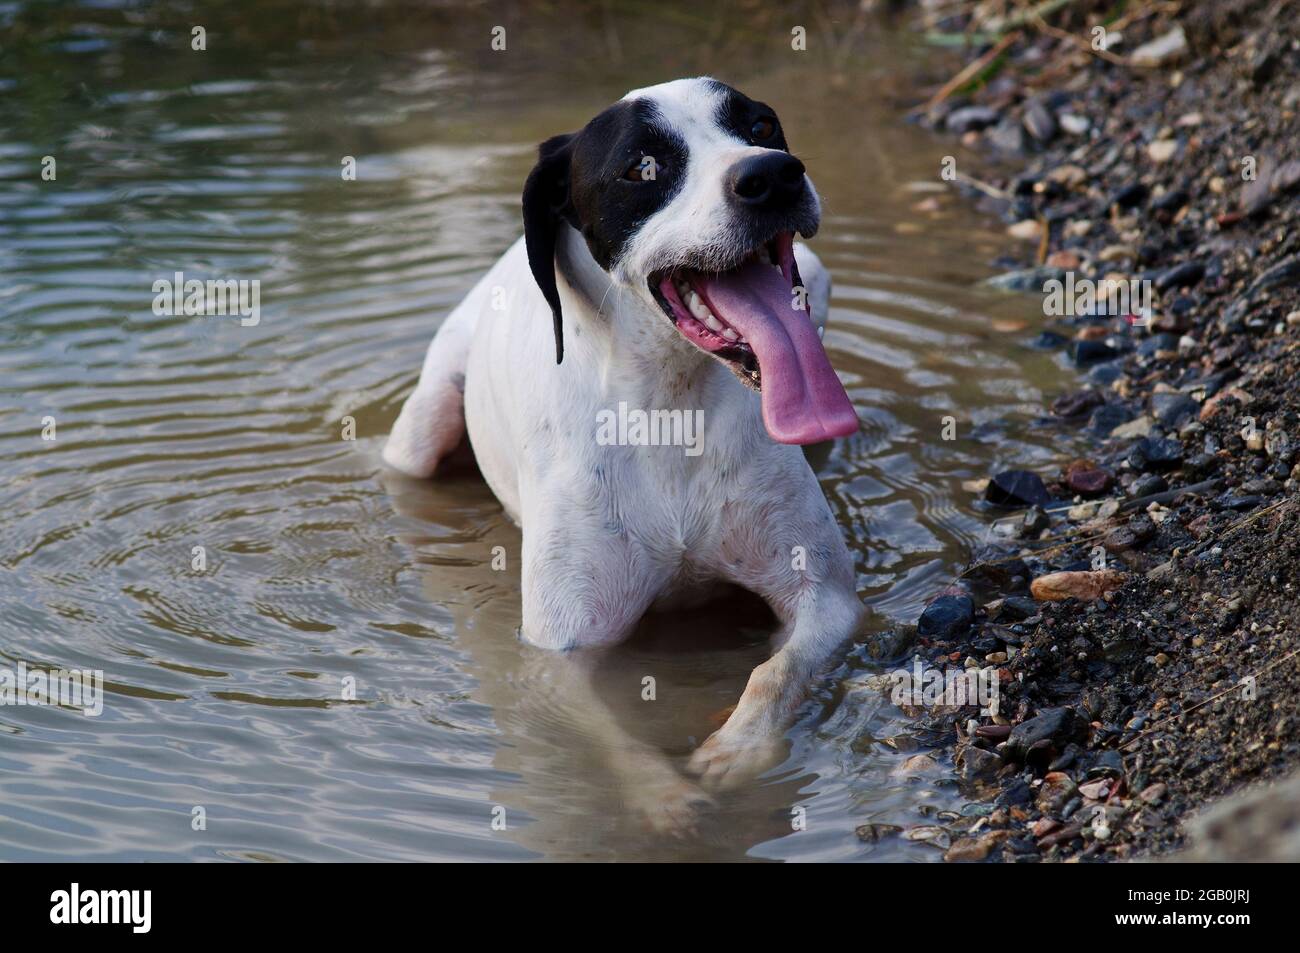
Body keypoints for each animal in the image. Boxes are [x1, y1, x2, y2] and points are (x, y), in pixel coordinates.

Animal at [382, 74, 863, 790]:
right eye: (643, 169)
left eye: (761, 127)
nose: (773, 174)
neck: (668, 405)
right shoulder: (563, 651)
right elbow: (618, 739)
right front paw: (664, 797)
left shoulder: (826, 601)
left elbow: (775, 673)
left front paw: (738, 751)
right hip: (419, 434)